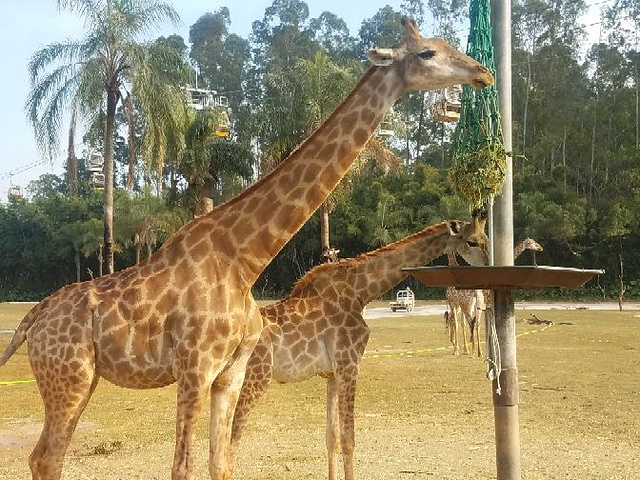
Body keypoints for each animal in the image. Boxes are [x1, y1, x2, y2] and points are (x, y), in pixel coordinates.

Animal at [230, 212, 490, 480]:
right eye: (471, 241)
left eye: (486, 239)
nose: (487, 267)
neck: (360, 292)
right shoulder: (350, 364)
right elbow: (349, 440)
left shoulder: (332, 373)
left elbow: (331, 437)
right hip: (252, 381)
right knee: (229, 444)